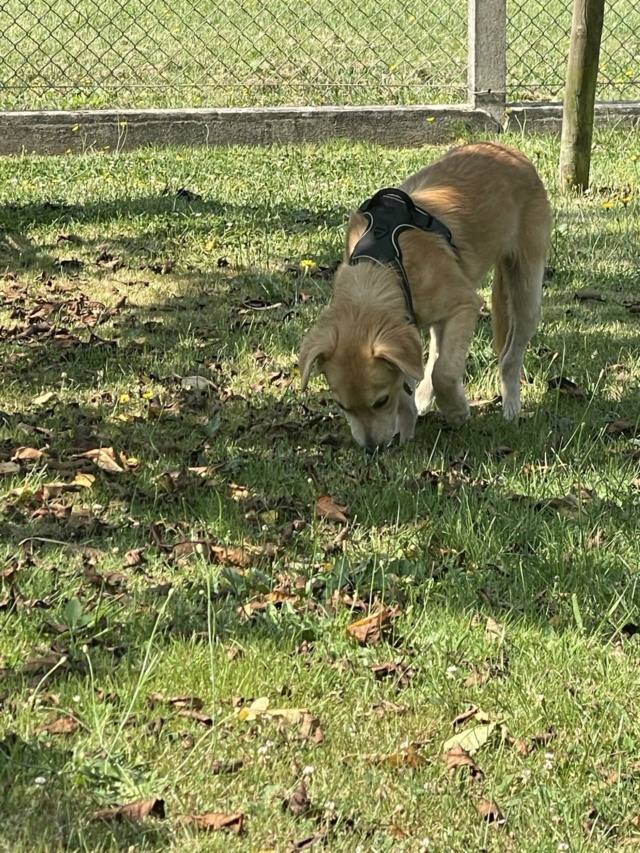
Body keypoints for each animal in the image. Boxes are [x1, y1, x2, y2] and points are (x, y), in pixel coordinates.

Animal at [298, 142, 552, 450]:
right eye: (342, 406)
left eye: (381, 401)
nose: (372, 450)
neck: (382, 261)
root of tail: (511, 152)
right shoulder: (407, 326)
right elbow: (419, 374)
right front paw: (408, 426)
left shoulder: (465, 305)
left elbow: (444, 373)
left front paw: (456, 412)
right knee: (432, 358)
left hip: (526, 289)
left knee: (508, 357)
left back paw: (511, 406)